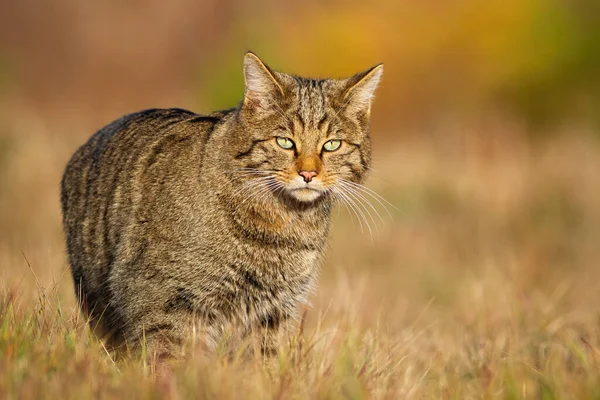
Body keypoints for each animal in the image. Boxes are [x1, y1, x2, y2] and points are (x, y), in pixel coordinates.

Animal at [59, 53, 380, 356]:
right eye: (285, 142)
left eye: (331, 145)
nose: (309, 174)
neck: (285, 224)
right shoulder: (164, 300)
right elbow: (172, 363)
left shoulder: (274, 310)